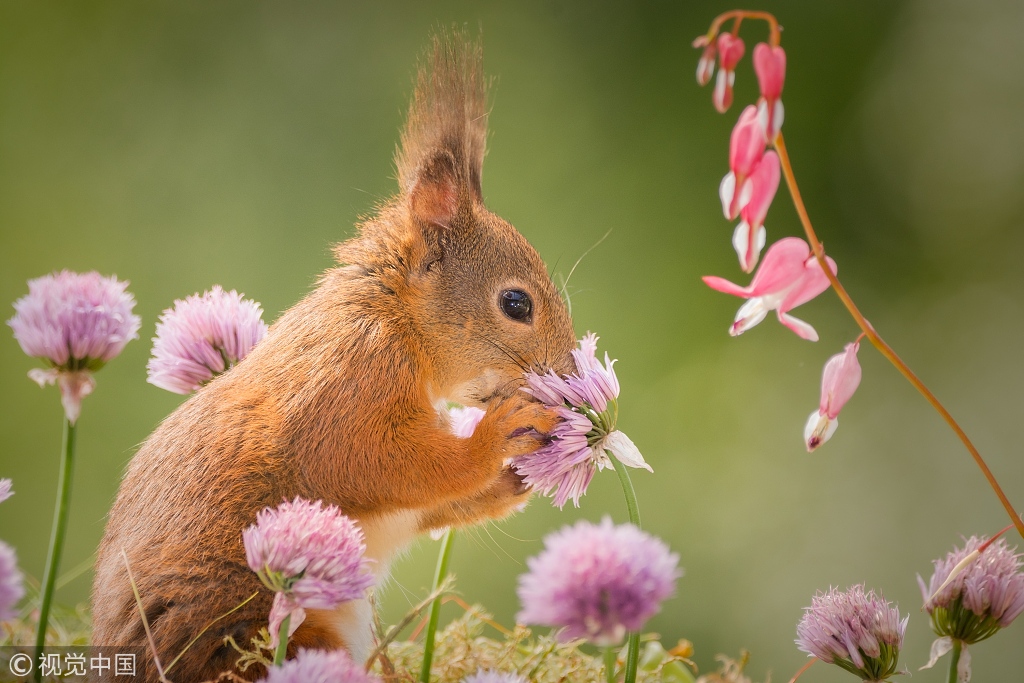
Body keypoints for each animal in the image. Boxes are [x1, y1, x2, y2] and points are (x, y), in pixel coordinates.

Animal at [90, 33, 577, 683]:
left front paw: (510, 482)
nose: (570, 380)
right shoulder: (347, 381)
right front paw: (498, 436)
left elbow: (428, 503)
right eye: (516, 303)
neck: (397, 321)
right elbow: (377, 461)